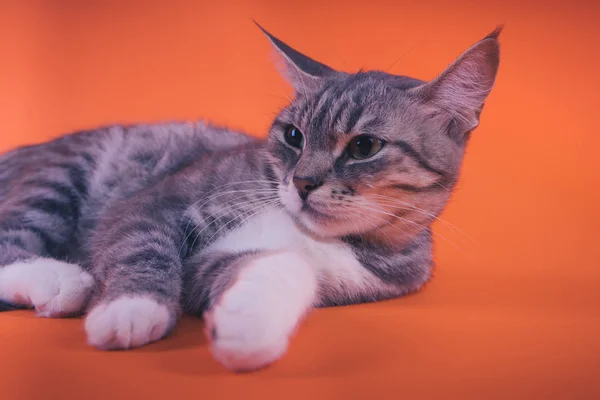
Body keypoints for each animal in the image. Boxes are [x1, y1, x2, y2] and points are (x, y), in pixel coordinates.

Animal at [0, 23, 502, 370]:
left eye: (364, 146)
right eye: (293, 135)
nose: (302, 182)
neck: (316, 235)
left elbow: (283, 265)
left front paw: (247, 322)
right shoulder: (154, 201)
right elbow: (140, 244)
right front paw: (132, 307)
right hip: (60, 175)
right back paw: (60, 279)